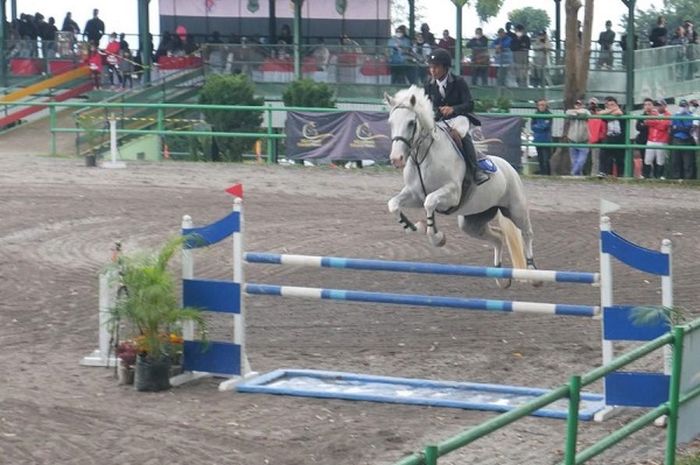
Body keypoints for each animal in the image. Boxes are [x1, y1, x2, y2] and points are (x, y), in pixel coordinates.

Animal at [386, 84, 540, 286]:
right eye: (391, 122)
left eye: (411, 123)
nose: (396, 159)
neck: (423, 158)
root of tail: (510, 168)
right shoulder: (414, 195)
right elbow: (394, 204)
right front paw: (413, 227)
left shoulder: (451, 194)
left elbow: (430, 202)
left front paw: (437, 238)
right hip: (472, 221)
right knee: (498, 237)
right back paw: (500, 277)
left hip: (516, 209)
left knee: (527, 233)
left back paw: (533, 271)